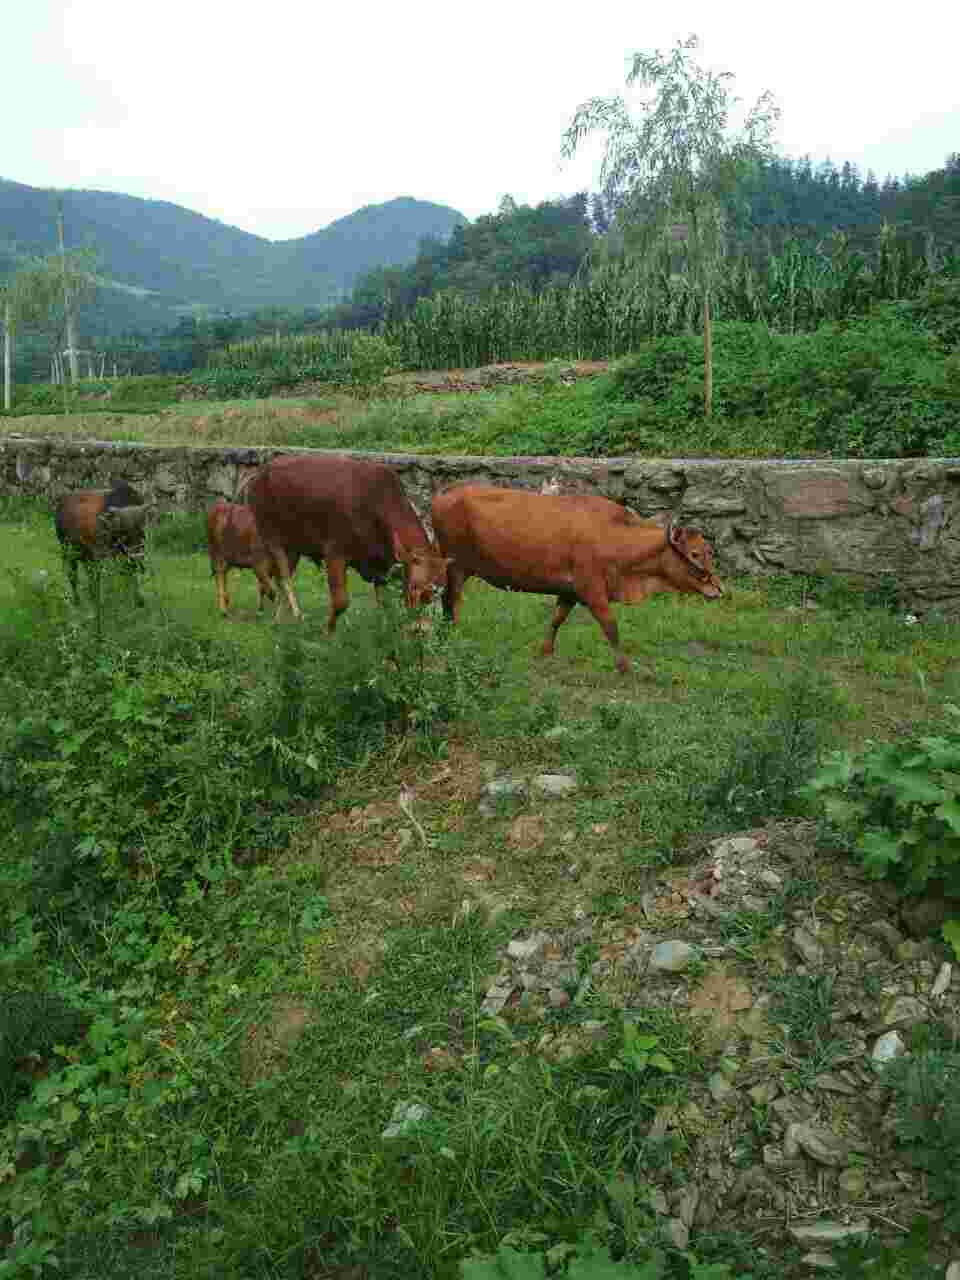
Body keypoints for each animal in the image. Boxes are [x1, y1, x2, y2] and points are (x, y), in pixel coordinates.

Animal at [54, 480, 150, 610]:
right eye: (124, 533)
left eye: (141, 533)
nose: (137, 557)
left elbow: (130, 576)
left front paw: (138, 601)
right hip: (68, 553)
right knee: (73, 577)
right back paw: (79, 601)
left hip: (87, 558)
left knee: (90, 578)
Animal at [245, 455, 451, 631]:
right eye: (416, 587)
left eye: (441, 590)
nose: (423, 628)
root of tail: (261, 472)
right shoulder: (335, 552)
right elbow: (341, 601)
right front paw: (327, 632)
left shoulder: (380, 567)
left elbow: (385, 603)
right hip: (271, 537)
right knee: (281, 577)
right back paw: (295, 615)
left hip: (293, 547)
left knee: (276, 577)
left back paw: (278, 619)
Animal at [430, 485, 724, 674]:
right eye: (695, 553)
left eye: (709, 551)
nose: (719, 588)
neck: (614, 538)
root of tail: (441, 496)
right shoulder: (591, 589)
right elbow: (611, 626)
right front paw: (624, 667)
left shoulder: (569, 591)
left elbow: (556, 620)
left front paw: (545, 651)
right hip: (456, 568)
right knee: (450, 603)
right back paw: (449, 638)